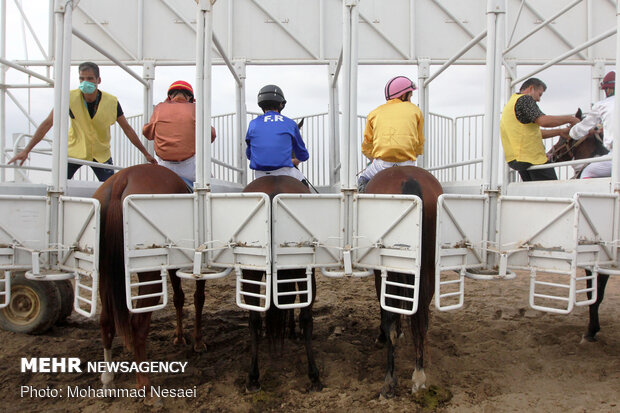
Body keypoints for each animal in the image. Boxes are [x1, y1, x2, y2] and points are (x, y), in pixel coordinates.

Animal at [92, 163, 203, 390]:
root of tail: (122, 178)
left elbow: (180, 298)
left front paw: (180, 337)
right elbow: (198, 298)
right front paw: (197, 341)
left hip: (105, 271)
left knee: (106, 320)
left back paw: (108, 378)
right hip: (148, 274)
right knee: (137, 323)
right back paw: (143, 381)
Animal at [241, 175, 322, 392]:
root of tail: (273, 189)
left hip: (250, 267)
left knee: (254, 319)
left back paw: (253, 376)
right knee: (306, 317)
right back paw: (314, 374)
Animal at [366, 164, 444, 396]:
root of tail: (408, 179)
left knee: (390, 317)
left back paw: (389, 380)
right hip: (426, 267)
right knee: (421, 319)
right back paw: (419, 374)